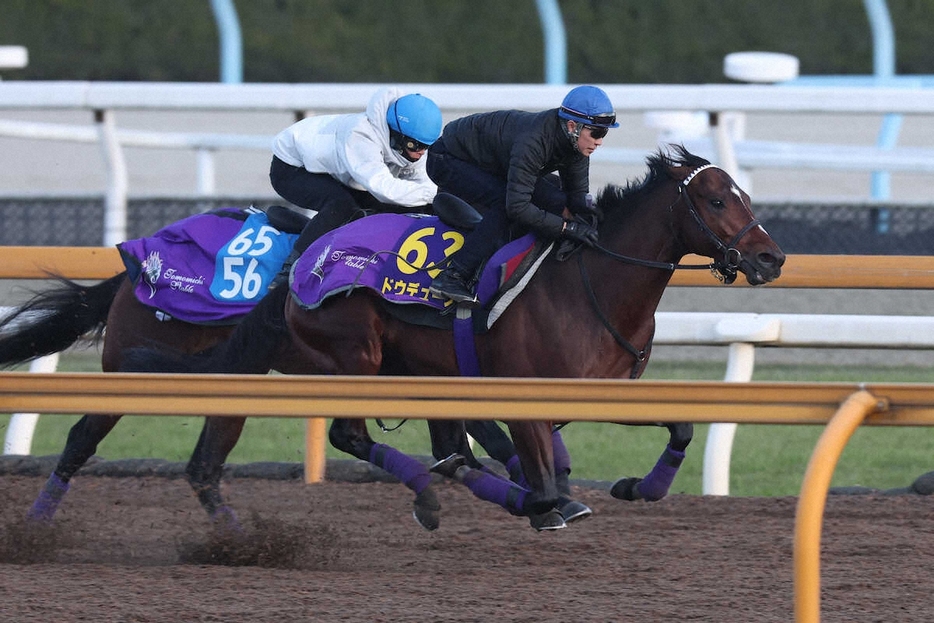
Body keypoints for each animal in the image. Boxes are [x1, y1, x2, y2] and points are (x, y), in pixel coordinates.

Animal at [122, 146, 784, 520]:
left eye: (745, 194)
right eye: (717, 200)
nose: (771, 259)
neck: (590, 282)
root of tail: (307, 258)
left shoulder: (607, 391)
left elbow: (681, 426)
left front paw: (637, 487)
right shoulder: (523, 397)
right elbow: (542, 476)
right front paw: (548, 502)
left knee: (444, 452)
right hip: (355, 353)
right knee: (353, 436)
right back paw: (434, 496)